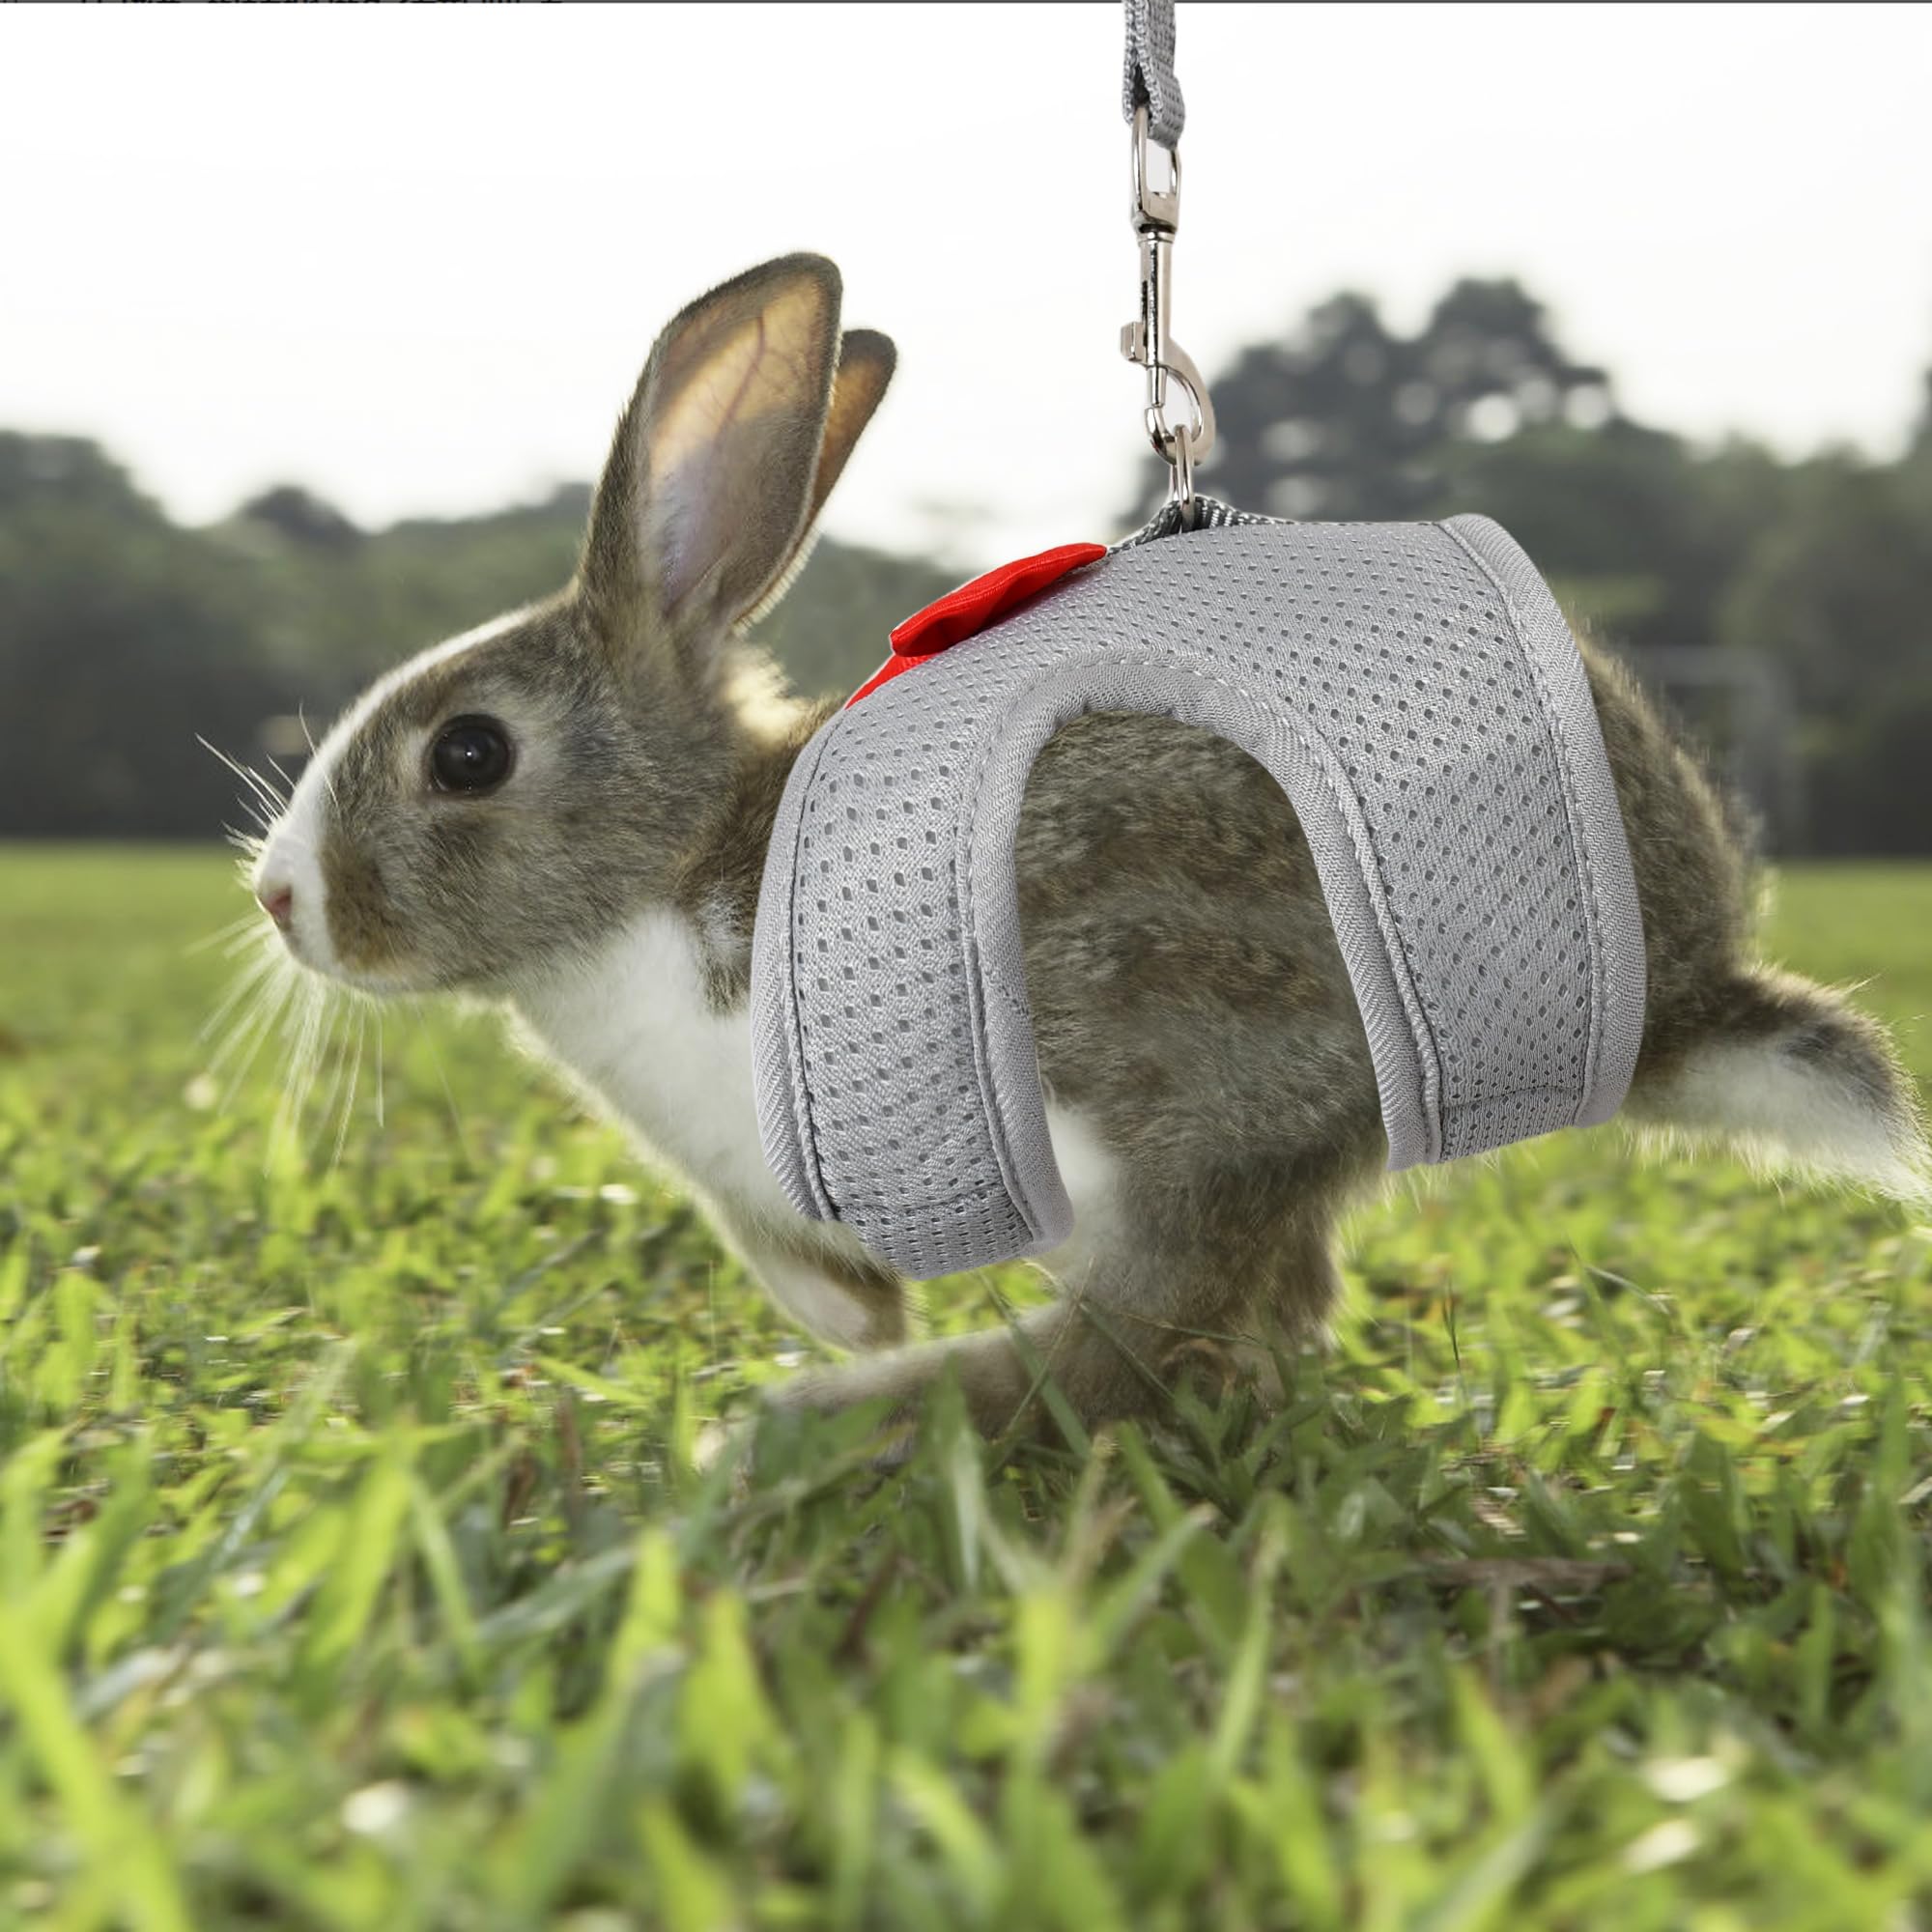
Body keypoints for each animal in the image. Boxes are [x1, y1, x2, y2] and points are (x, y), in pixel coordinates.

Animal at [249, 252, 1929, 1443]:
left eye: (470, 754)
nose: (279, 899)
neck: (678, 866)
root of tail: (1685, 995)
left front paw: (844, 1354)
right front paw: (850, 1315)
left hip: (1172, 1027)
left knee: (1144, 1337)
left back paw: (822, 1427)